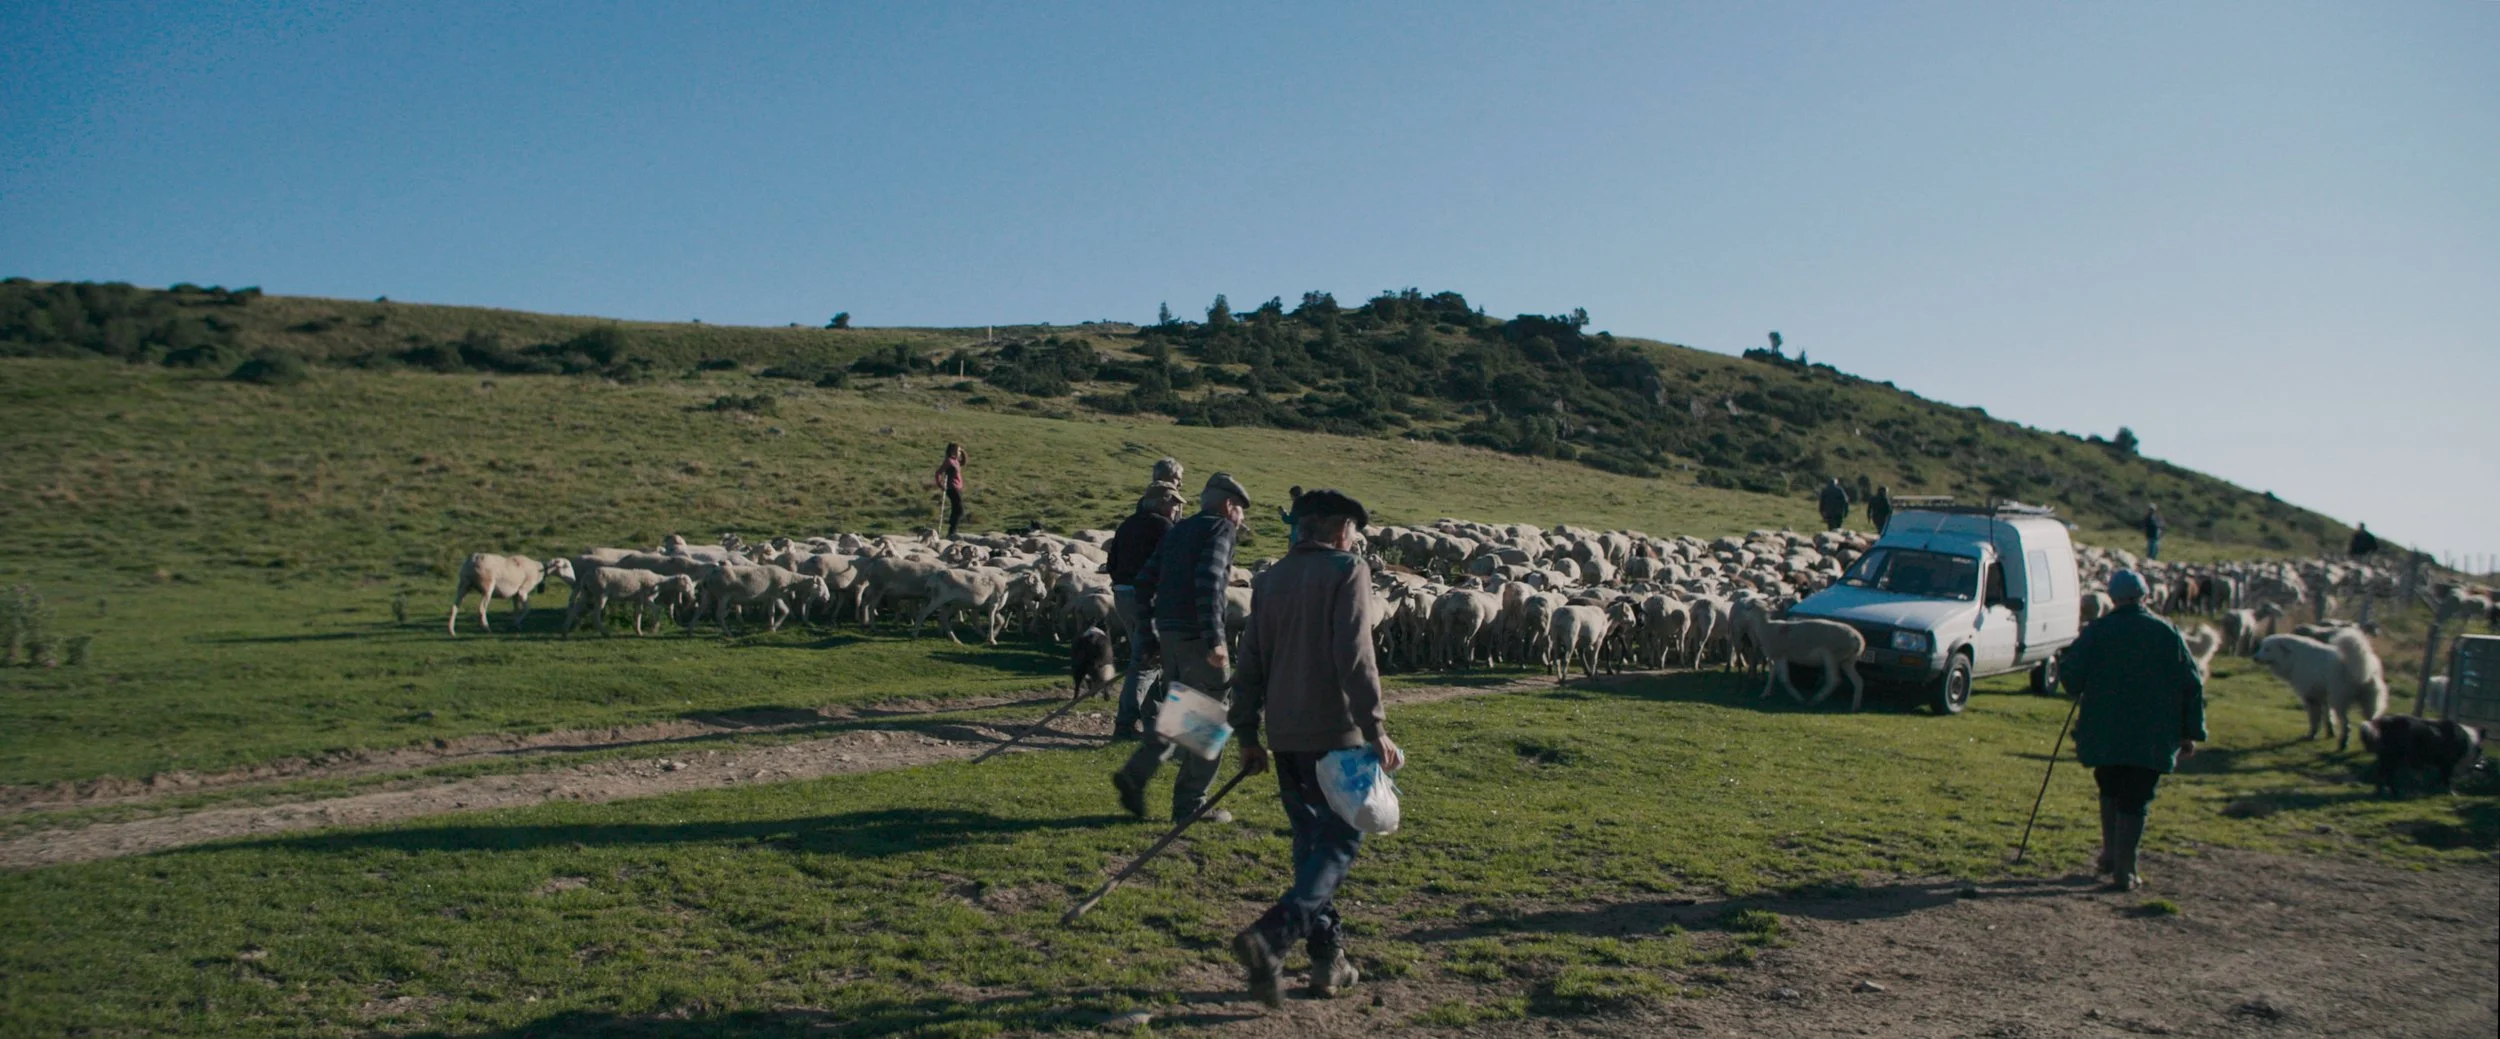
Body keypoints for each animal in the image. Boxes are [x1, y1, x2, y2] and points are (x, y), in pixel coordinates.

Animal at [2252, 629, 2389, 750]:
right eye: (2261, 647)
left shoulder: (2311, 698)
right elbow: (2327, 717)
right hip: (2368, 705)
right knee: (2371, 724)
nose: (2255, 658)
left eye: (2267, 649)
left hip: (2339, 701)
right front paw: (2330, 733)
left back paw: (2343, 743)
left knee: (2346, 725)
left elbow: (2315, 719)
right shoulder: (2324, 697)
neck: (2294, 658)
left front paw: (2312, 735)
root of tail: (2362, 665)